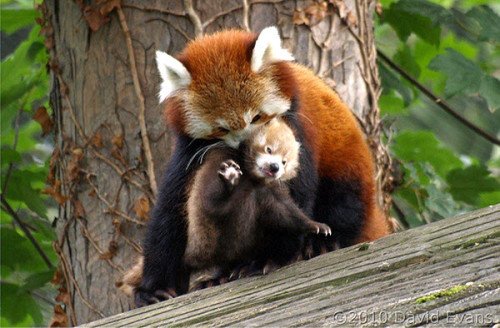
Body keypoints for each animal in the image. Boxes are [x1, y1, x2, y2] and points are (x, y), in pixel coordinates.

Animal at [121, 118, 332, 302]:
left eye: (284, 161)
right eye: (268, 148)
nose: (274, 167)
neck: (251, 180)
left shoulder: (270, 194)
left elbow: (286, 214)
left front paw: (315, 226)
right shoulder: (212, 172)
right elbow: (212, 201)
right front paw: (230, 179)